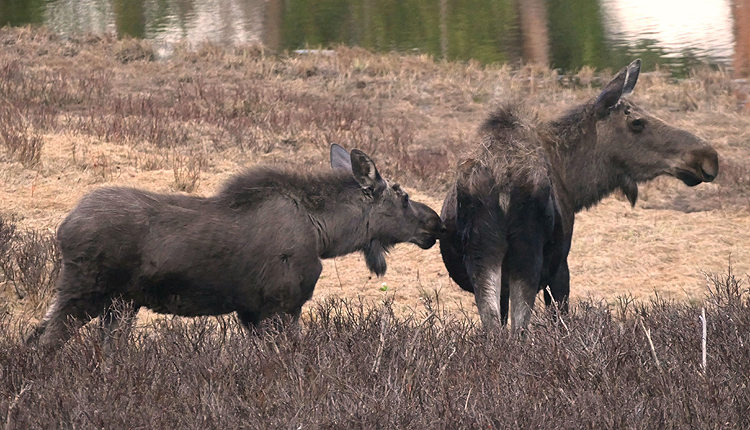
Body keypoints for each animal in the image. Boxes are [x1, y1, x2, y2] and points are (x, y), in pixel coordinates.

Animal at [32, 144, 446, 350]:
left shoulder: (251, 310)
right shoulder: (281, 305)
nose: (436, 223)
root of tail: (63, 228)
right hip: (85, 293)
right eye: (403, 196)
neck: (325, 234)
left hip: (118, 305)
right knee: (46, 341)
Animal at [444, 58, 720, 332]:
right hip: (527, 257)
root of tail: (502, 181)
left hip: (485, 258)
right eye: (637, 122)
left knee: (493, 326)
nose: (708, 157)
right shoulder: (560, 267)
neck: (574, 183)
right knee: (519, 328)